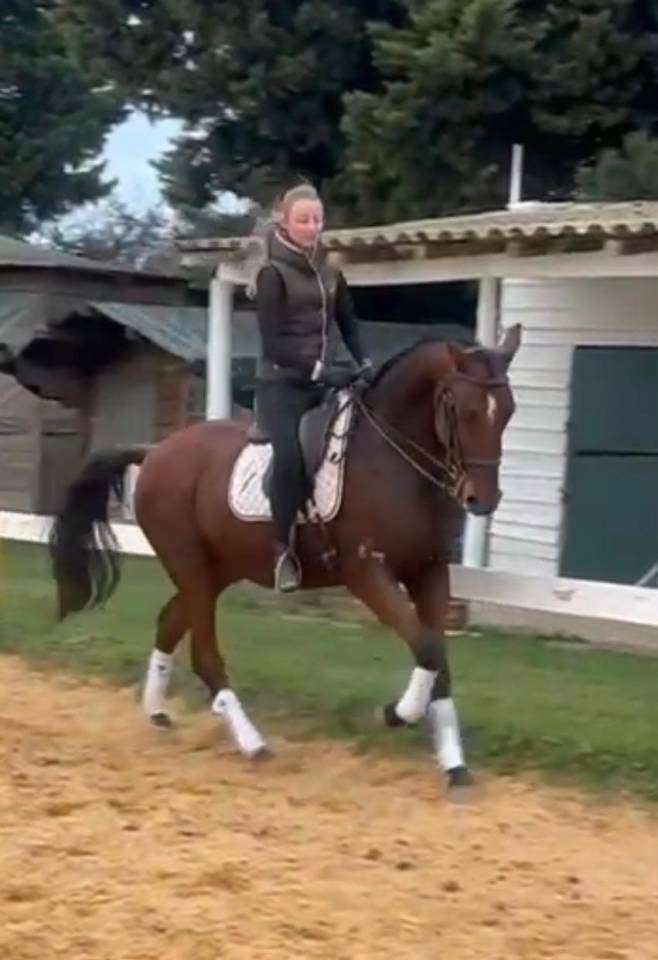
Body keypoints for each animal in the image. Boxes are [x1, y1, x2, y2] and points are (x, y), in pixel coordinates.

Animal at [49, 324, 521, 795]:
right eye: (464, 409)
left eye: (508, 412)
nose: (483, 499)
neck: (392, 459)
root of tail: (156, 452)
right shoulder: (366, 572)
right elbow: (426, 647)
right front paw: (394, 714)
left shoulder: (430, 571)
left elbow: (438, 655)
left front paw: (454, 765)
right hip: (191, 566)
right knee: (204, 654)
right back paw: (253, 744)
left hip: (216, 570)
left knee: (169, 622)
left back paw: (157, 713)